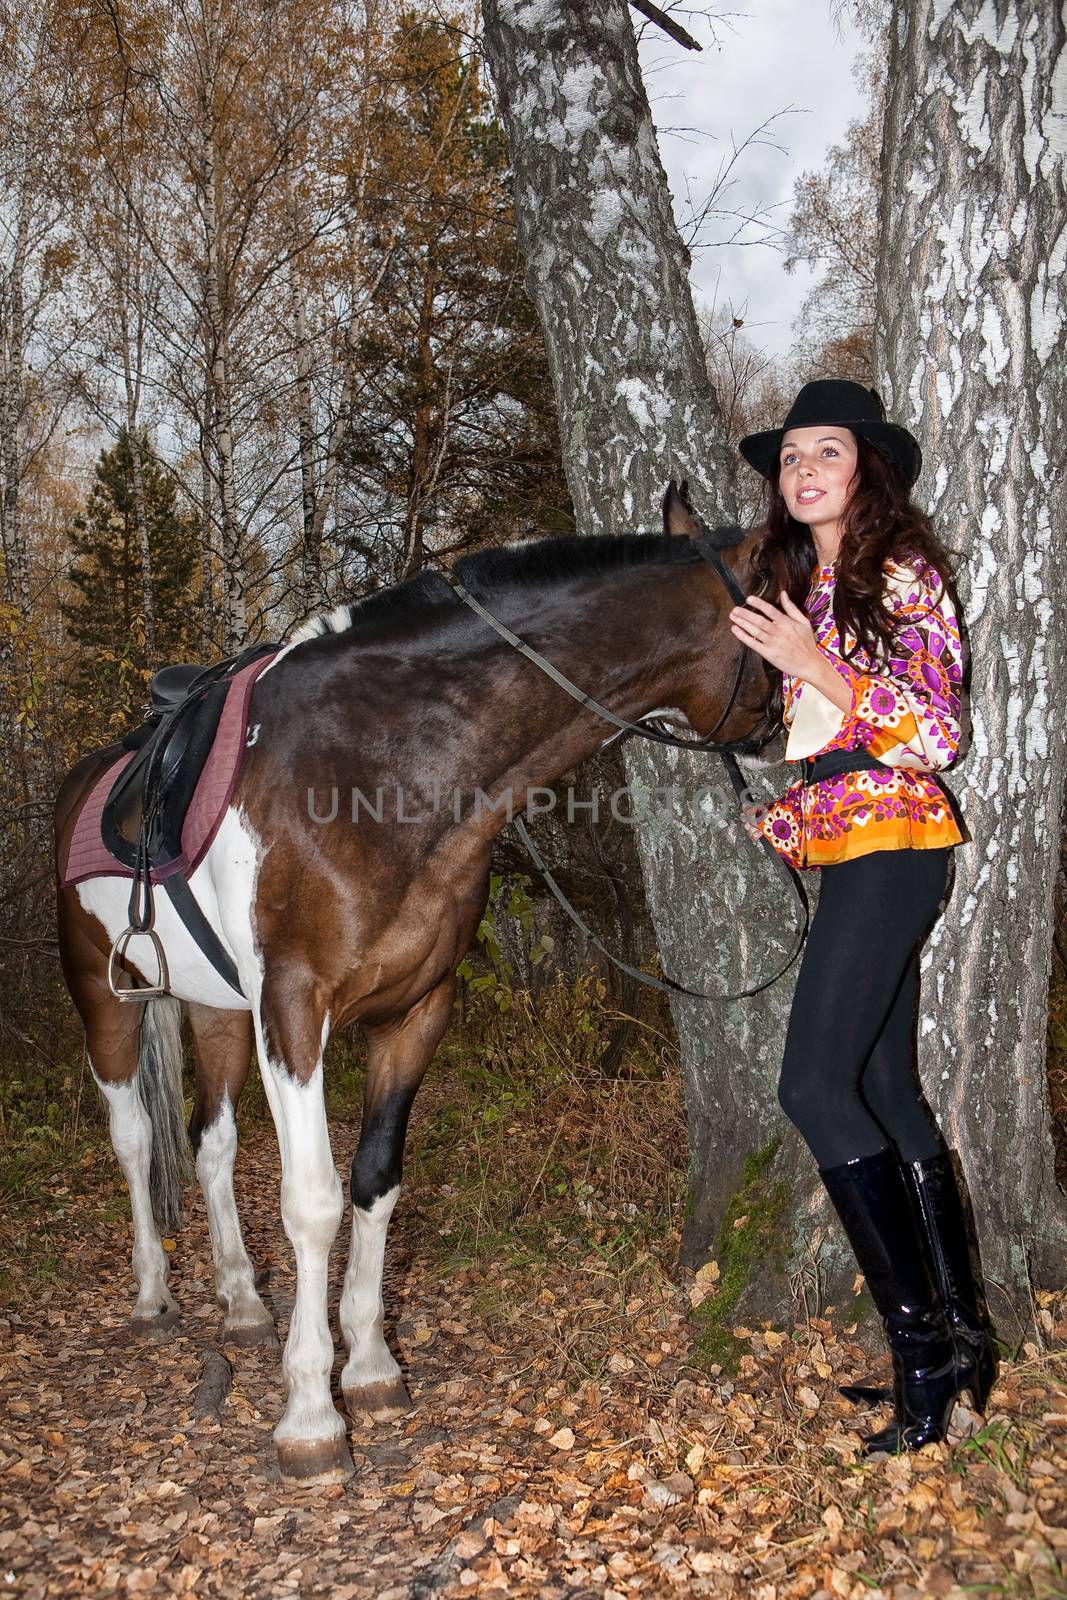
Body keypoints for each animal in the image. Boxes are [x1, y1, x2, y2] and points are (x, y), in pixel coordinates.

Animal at [54, 483, 771, 1472]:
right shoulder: (295, 1011)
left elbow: (374, 1182)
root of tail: (90, 776)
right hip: (105, 996)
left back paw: (240, 1300)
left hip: (215, 1013)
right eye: (796, 605)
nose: (799, 723)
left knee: (210, 1144)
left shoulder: (416, 1012)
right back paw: (154, 1293)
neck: (383, 766)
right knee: (131, 1139)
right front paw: (310, 1413)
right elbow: (313, 1202)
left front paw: (369, 1366)